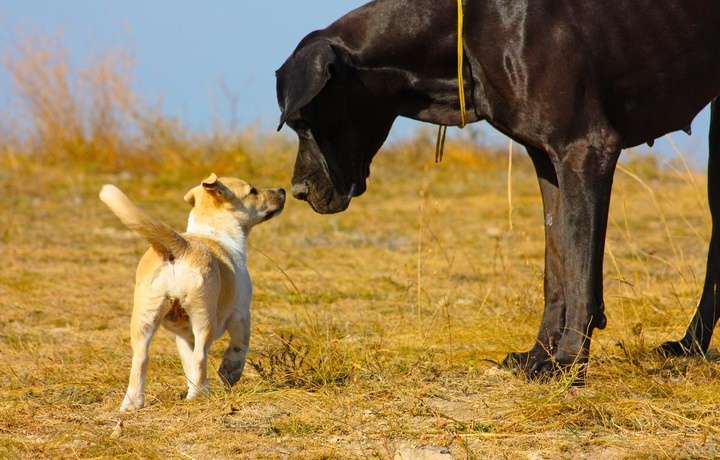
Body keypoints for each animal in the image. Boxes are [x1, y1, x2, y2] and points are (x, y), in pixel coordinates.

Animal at [100, 174, 286, 412]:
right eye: (252, 190)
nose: (282, 190)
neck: (213, 232)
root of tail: (180, 247)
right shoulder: (242, 315)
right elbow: (238, 347)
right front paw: (229, 373)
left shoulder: (183, 336)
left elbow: (188, 365)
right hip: (204, 318)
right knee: (200, 356)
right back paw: (198, 396)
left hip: (144, 318)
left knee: (141, 359)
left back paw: (134, 403)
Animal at [278, 0, 720, 378]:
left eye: (303, 121)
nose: (298, 190)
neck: (466, 27)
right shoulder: (547, 161)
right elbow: (556, 266)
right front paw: (539, 354)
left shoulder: (585, 150)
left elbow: (580, 270)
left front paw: (568, 360)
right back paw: (689, 346)